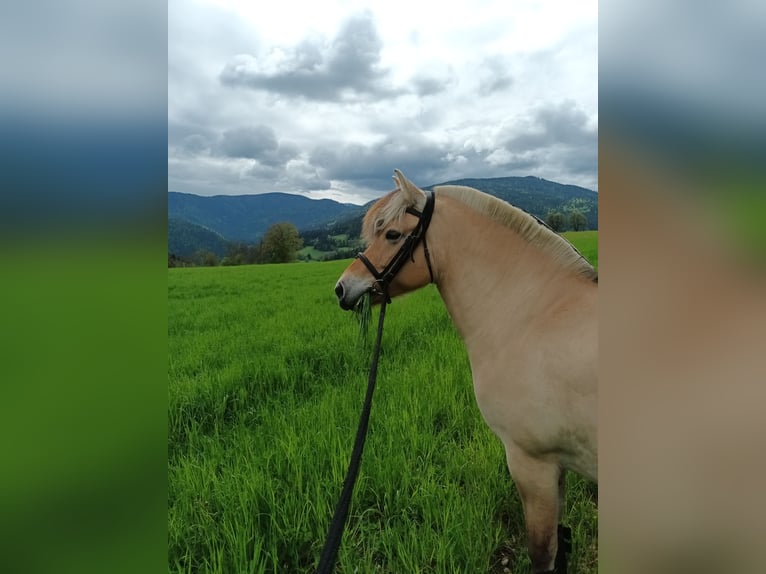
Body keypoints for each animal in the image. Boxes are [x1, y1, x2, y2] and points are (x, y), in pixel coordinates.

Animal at [334, 170, 597, 573]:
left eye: (391, 234)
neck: (536, 314)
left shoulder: (532, 464)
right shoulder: (558, 466)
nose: (342, 288)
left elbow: (542, 553)